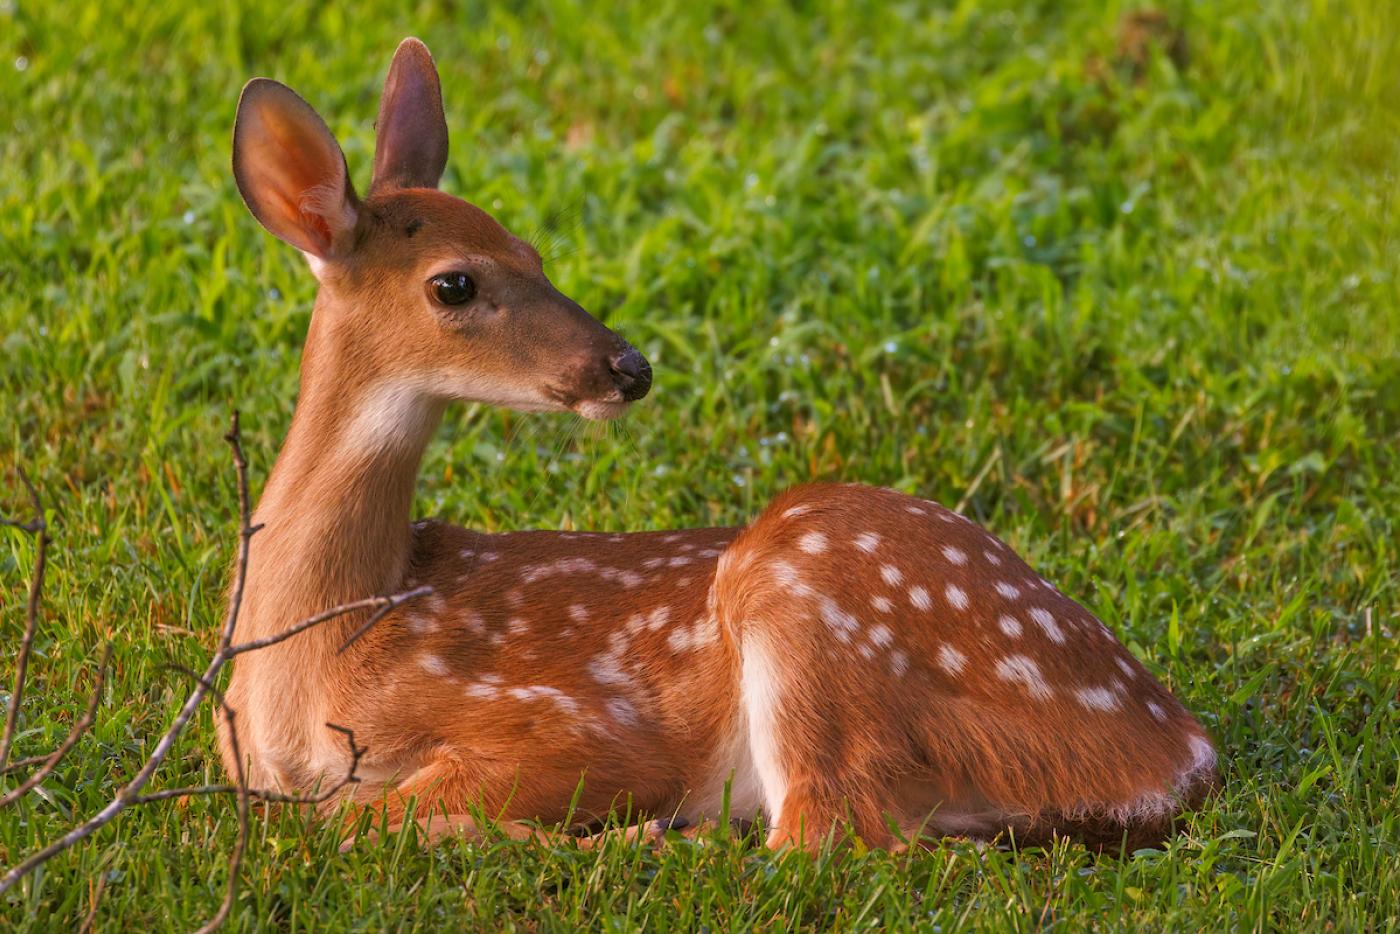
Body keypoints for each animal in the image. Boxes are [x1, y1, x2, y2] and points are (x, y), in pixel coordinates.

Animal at [221, 37, 1218, 854]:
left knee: (824, 837)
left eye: (535, 250)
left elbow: (365, 818)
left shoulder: (572, 720)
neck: (330, 647)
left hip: (801, 602)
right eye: (455, 282)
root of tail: (1181, 754)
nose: (628, 367)